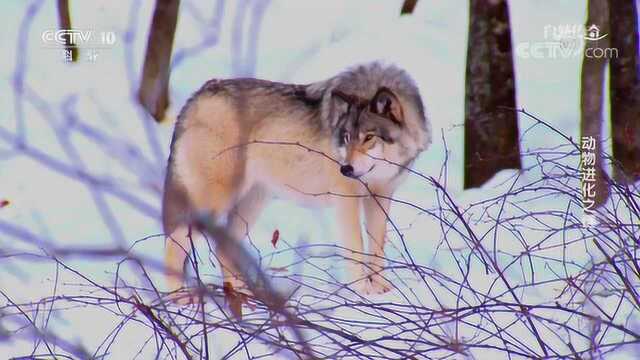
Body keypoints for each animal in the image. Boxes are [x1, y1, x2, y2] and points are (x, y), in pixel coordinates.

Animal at [161, 61, 430, 298]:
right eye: (346, 137)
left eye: (368, 138)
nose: (345, 168)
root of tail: (198, 95)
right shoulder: (346, 198)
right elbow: (356, 246)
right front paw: (362, 292)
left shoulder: (381, 195)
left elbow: (376, 248)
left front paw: (381, 291)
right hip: (215, 201)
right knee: (174, 244)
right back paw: (181, 301)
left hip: (252, 202)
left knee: (222, 249)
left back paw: (246, 298)